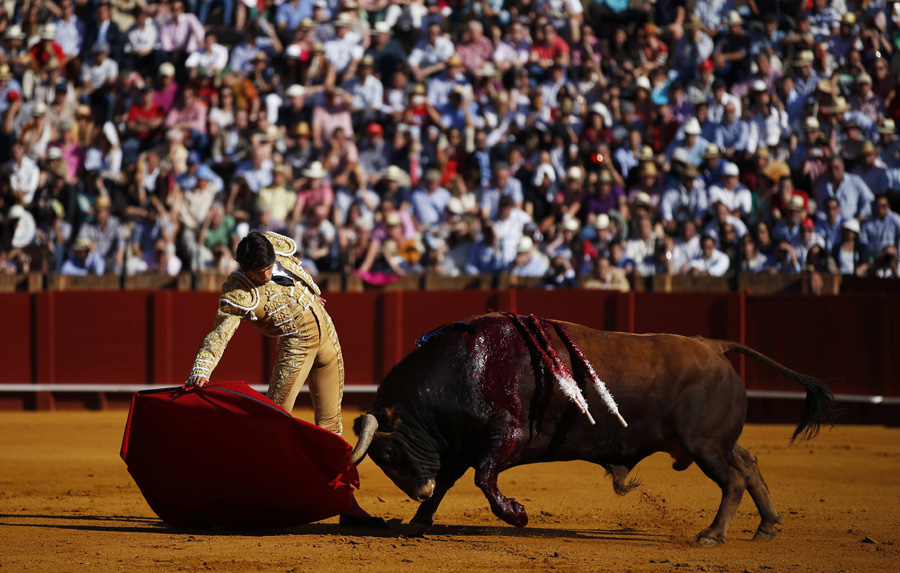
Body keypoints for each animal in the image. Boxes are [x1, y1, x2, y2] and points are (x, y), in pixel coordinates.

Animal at [348, 316, 832, 544]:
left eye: (386, 455)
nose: (419, 490)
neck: (468, 367)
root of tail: (712, 345)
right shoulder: (459, 447)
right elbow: (452, 481)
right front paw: (417, 521)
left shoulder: (502, 438)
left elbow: (484, 480)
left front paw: (517, 515)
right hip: (713, 442)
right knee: (748, 463)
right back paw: (766, 526)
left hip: (705, 445)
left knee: (732, 479)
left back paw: (712, 535)